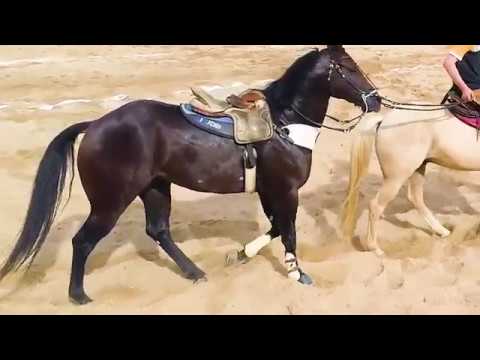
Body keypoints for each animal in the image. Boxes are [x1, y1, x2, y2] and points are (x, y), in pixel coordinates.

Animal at [0, 45, 382, 304]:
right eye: (348, 67)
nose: (376, 100)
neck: (284, 123)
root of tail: (94, 125)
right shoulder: (286, 190)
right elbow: (287, 232)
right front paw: (296, 273)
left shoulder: (269, 191)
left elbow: (275, 228)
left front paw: (239, 255)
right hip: (110, 202)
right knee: (83, 241)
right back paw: (79, 295)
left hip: (155, 188)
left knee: (158, 231)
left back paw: (195, 272)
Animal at [342, 98, 480, 255]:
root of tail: (384, 120)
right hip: (396, 178)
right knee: (376, 206)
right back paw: (375, 248)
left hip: (418, 168)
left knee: (415, 198)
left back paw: (442, 231)